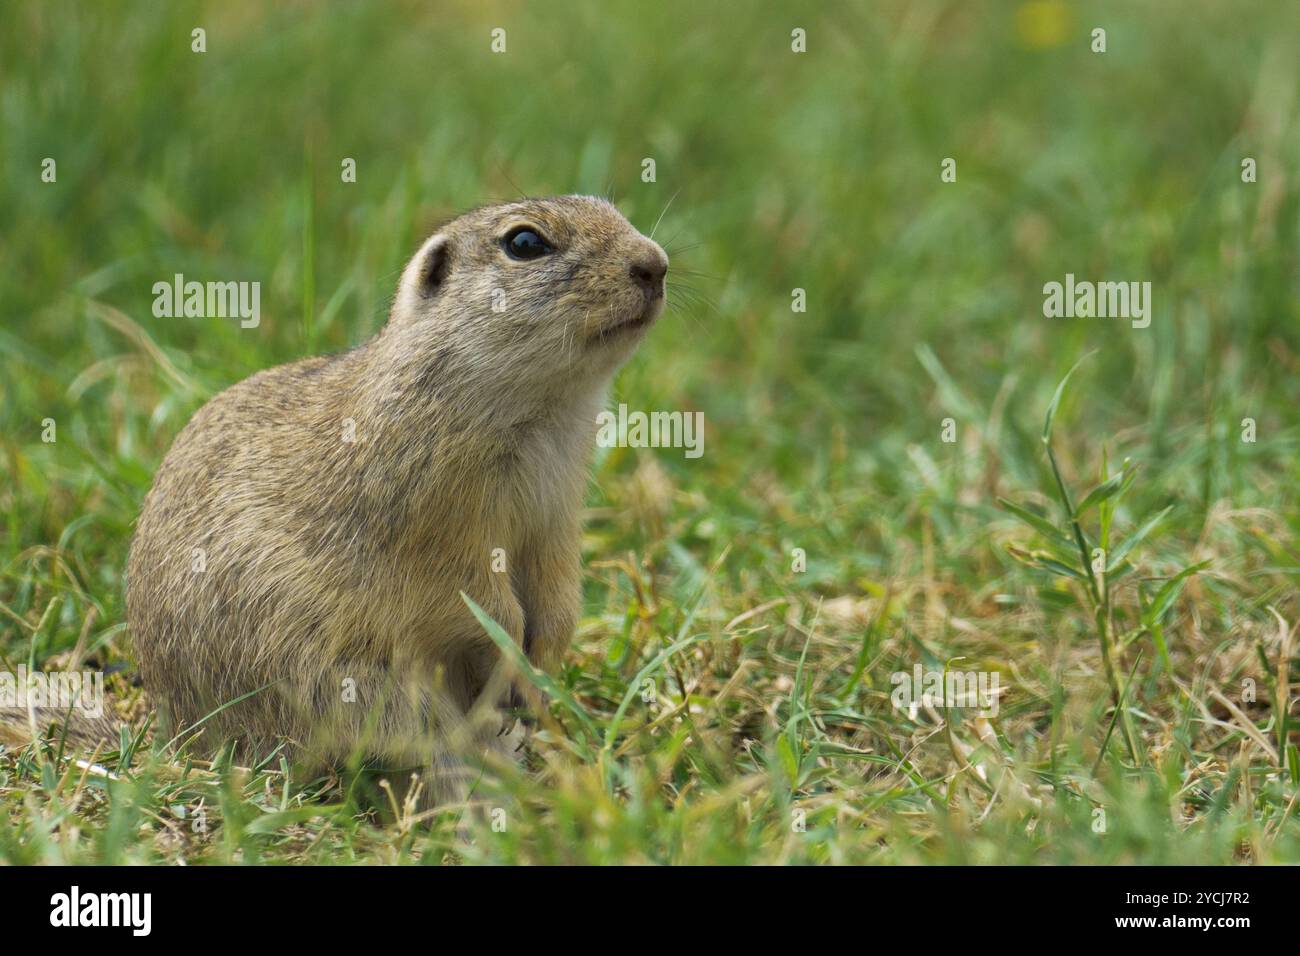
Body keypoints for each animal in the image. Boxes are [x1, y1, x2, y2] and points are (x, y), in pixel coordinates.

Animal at [7, 196, 670, 806]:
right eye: (525, 243)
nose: (655, 264)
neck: (542, 412)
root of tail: (178, 741)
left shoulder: (555, 519)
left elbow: (557, 598)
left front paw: (536, 679)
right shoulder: (436, 531)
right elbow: (478, 602)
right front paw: (510, 661)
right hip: (354, 687)